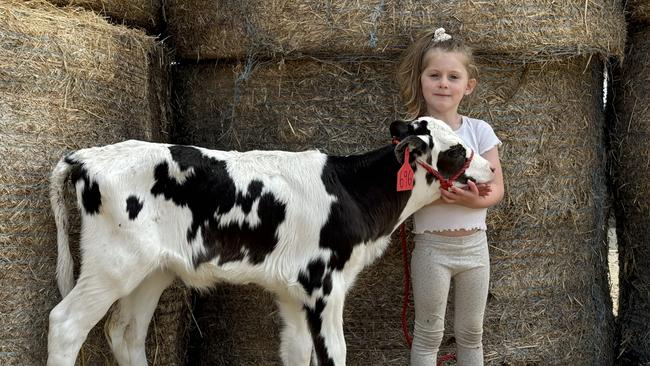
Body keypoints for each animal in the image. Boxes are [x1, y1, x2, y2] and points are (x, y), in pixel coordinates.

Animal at [46, 117, 492, 366]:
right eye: (456, 150)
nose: (490, 168)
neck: (351, 190)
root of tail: (88, 156)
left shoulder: (292, 292)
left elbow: (296, 352)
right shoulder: (323, 286)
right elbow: (333, 353)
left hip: (150, 271)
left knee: (126, 333)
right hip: (113, 264)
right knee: (66, 324)